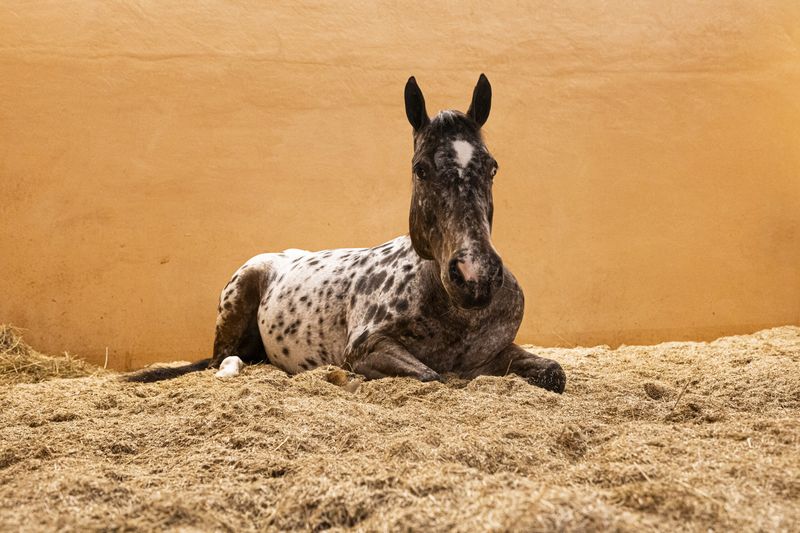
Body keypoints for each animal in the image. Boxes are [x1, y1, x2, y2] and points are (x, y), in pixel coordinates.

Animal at [128, 74, 566, 393]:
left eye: (492, 166)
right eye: (420, 168)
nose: (475, 276)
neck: (449, 307)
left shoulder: (496, 353)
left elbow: (553, 373)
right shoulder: (368, 347)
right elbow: (431, 376)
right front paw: (343, 378)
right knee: (222, 361)